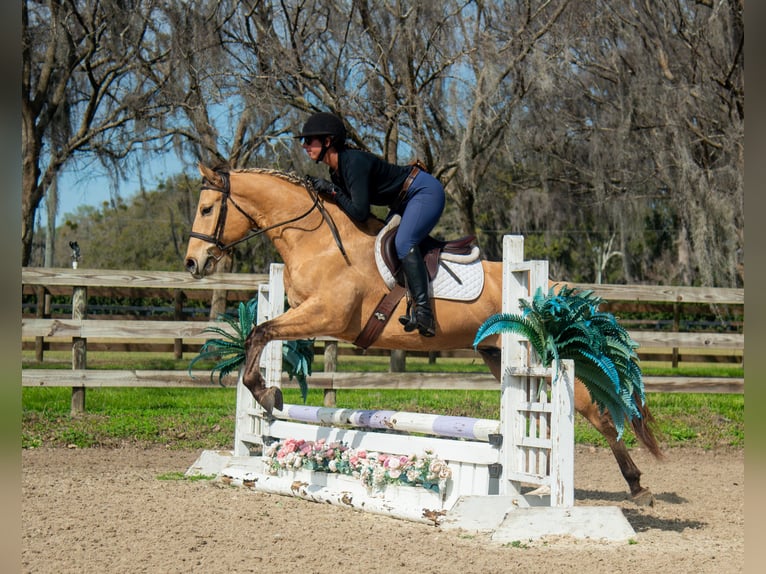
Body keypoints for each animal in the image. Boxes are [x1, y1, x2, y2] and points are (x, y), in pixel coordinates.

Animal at [184, 164, 662, 505]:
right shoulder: (305, 313)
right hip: (498, 356)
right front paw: (269, 393)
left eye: (207, 210)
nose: (193, 264)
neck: (317, 242)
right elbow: (262, 334)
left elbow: (260, 333)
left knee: (596, 413)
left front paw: (267, 395)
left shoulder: (327, 315)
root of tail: (551, 292)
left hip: (543, 357)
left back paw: (638, 486)